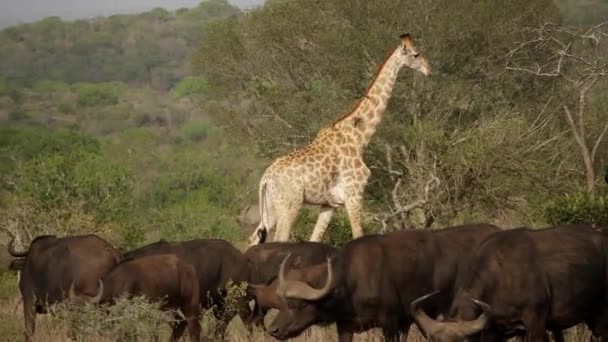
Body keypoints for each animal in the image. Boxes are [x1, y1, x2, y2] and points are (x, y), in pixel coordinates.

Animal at [71, 254, 200, 342]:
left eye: (84, 311)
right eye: (71, 308)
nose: (74, 323)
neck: (119, 282)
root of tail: (189, 268)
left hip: (190, 305)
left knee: (193, 328)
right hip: (173, 307)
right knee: (179, 326)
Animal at [247, 223, 498, 340]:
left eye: (299, 305)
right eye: (283, 303)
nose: (274, 329)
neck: (351, 284)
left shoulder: (390, 323)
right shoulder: (345, 326)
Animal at [248, 34, 432, 246]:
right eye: (416, 54)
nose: (429, 70)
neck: (359, 138)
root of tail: (265, 179)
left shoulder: (330, 204)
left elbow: (315, 239)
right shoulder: (354, 195)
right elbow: (358, 235)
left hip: (270, 209)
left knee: (254, 238)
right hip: (289, 206)